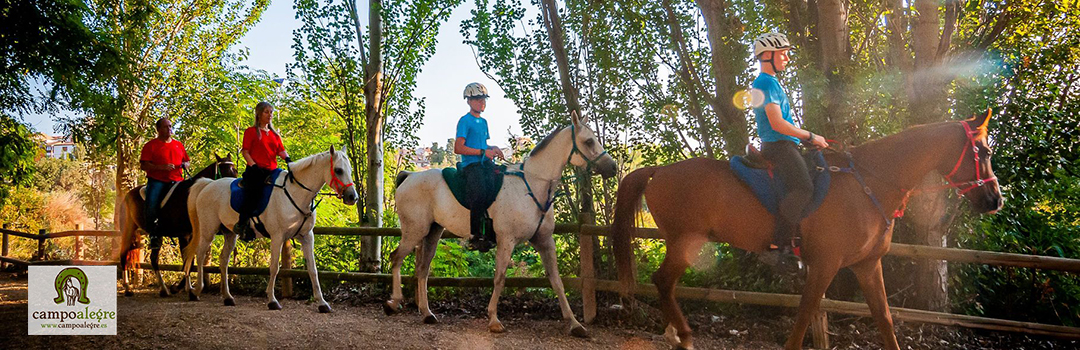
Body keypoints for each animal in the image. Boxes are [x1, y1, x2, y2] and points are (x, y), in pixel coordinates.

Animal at [113, 154, 236, 295]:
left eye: (235, 171)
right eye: (225, 172)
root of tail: (127, 196)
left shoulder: (192, 235)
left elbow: (189, 261)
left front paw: (186, 287)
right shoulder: (184, 235)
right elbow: (188, 261)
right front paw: (180, 287)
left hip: (155, 234)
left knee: (153, 259)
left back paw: (163, 289)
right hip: (128, 229)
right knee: (124, 255)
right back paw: (128, 288)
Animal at [183, 145, 356, 313]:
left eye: (350, 169)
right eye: (338, 170)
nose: (353, 197)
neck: (296, 193)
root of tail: (208, 184)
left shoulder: (307, 236)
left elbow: (313, 270)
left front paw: (322, 303)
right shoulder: (277, 237)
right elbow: (274, 268)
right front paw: (272, 300)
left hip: (230, 233)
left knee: (223, 260)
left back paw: (227, 297)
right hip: (208, 230)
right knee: (199, 255)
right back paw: (196, 291)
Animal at [388, 112, 617, 337]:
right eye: (588, 141)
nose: (612, 167)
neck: (531, 186)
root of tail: (409, 176)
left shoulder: (545, 241)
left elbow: (557, 281)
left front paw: (575, 324)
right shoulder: (507, 241)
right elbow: (500, 277)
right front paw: (494, 320)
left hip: (432, 233)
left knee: (422, 269)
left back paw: (427, 313)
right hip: (414, 231)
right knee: (396, 258)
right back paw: (394, 302)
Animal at [617, 110, 1002, 347]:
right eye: (983, 151)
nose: (994, 199)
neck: (868, 184)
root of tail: (658, 171)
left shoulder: (867, 265)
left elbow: (884, 319)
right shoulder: (824, 265)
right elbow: (804, 316)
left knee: (665, 285)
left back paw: (676, 334)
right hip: (687, 242)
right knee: (662, 282)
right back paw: (683, 335)